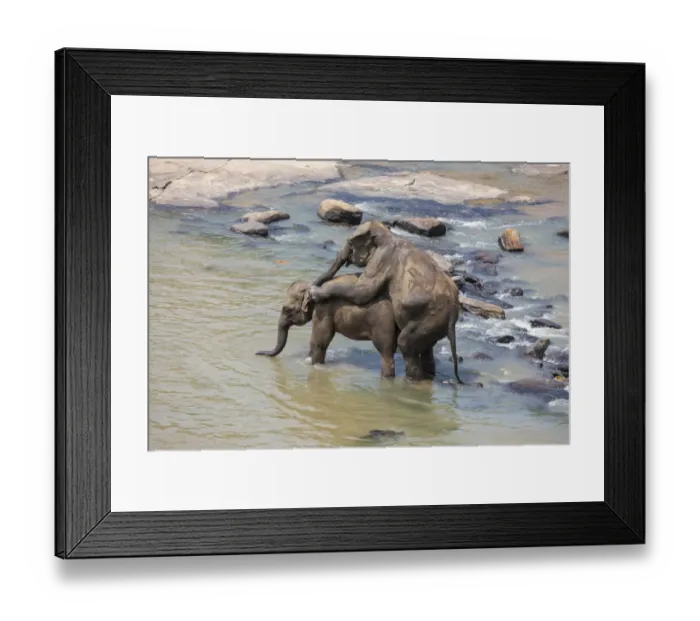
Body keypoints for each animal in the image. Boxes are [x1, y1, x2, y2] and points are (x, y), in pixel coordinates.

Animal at [256, 274, 398, 378]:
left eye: (286, 309)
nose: (257, 353)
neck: (313, 285)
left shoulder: (322, 309)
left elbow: (319, 342)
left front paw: (315, 365)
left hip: (383, 323)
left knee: (386, 352)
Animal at [309, 221, 463, 383]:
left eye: (350, 242)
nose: (312, 286)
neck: (388, 234)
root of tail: (453, 314)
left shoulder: (382, 259)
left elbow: (362, 291)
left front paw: (315, 292)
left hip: (431, 318)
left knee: (405, 344)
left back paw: (411, 380)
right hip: (434, 325)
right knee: (427, 350)